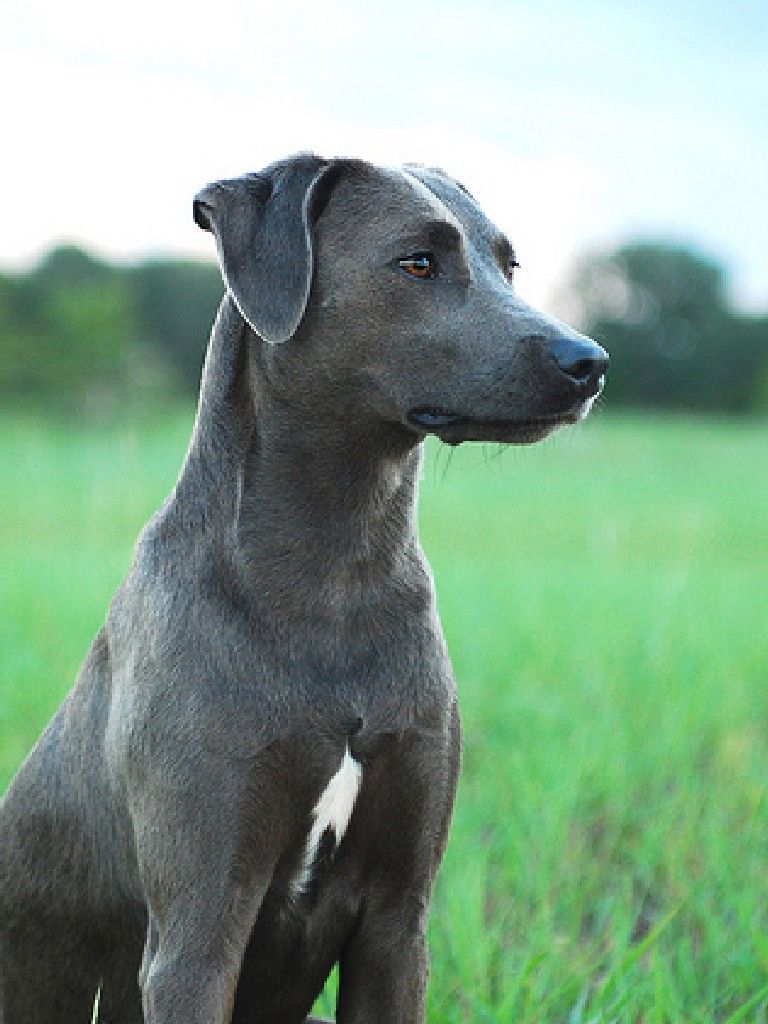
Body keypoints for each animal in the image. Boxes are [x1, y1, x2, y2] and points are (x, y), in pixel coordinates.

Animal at [0, 153, 606, 1024]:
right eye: (416, 262)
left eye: (509, 263)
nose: (588, 361)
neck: (336, 572)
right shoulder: (196, 935)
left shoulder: (397, 921)